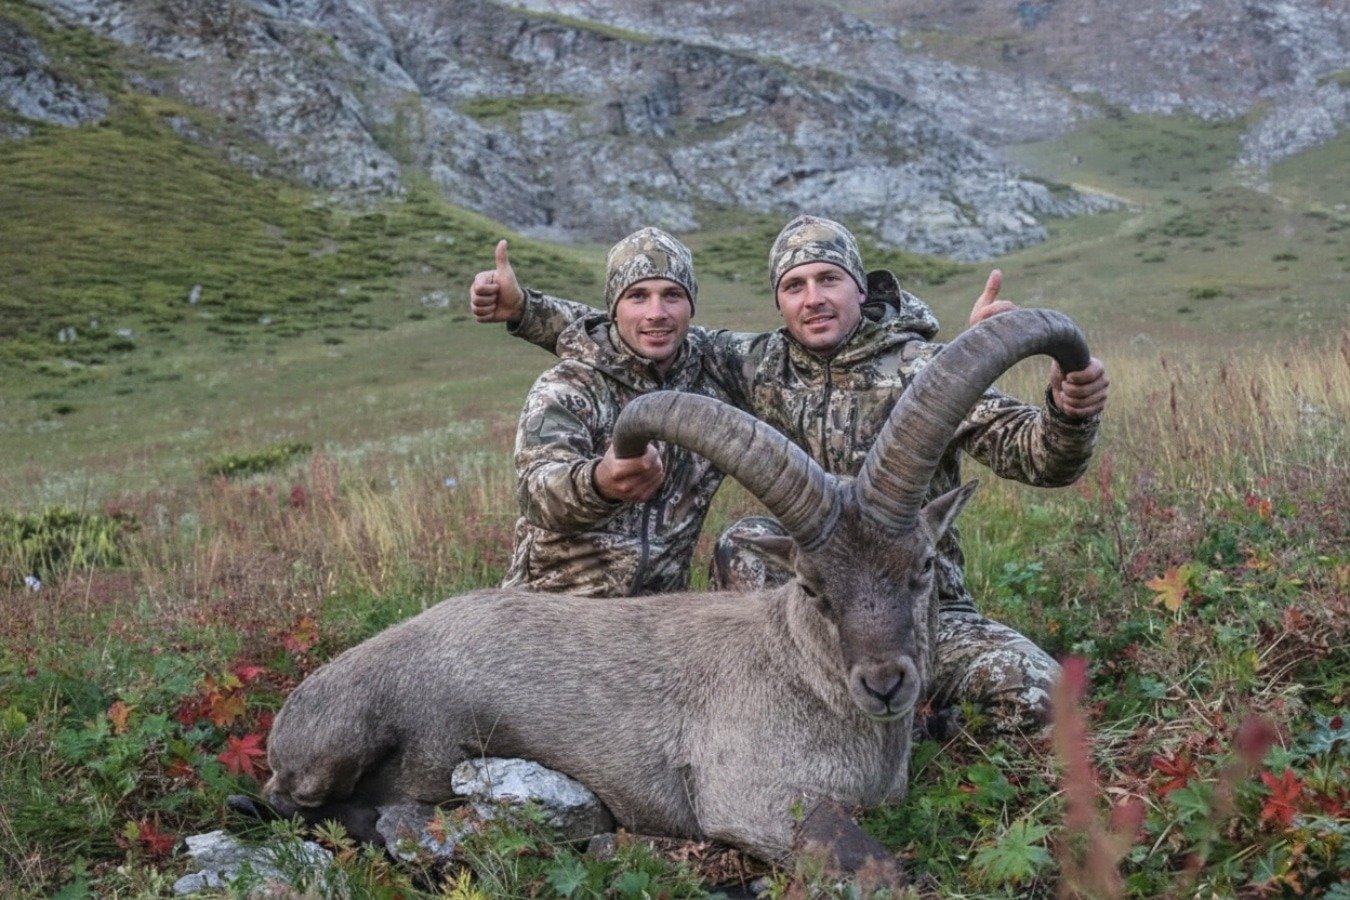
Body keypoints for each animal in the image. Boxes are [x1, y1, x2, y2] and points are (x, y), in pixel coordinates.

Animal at [264, 309, 1091, 871]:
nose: (886, 683)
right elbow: (877, 866)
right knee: (298, 803)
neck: (800, 673)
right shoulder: (752, 803)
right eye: (813, 587)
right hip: (345, 735)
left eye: (920, 565)